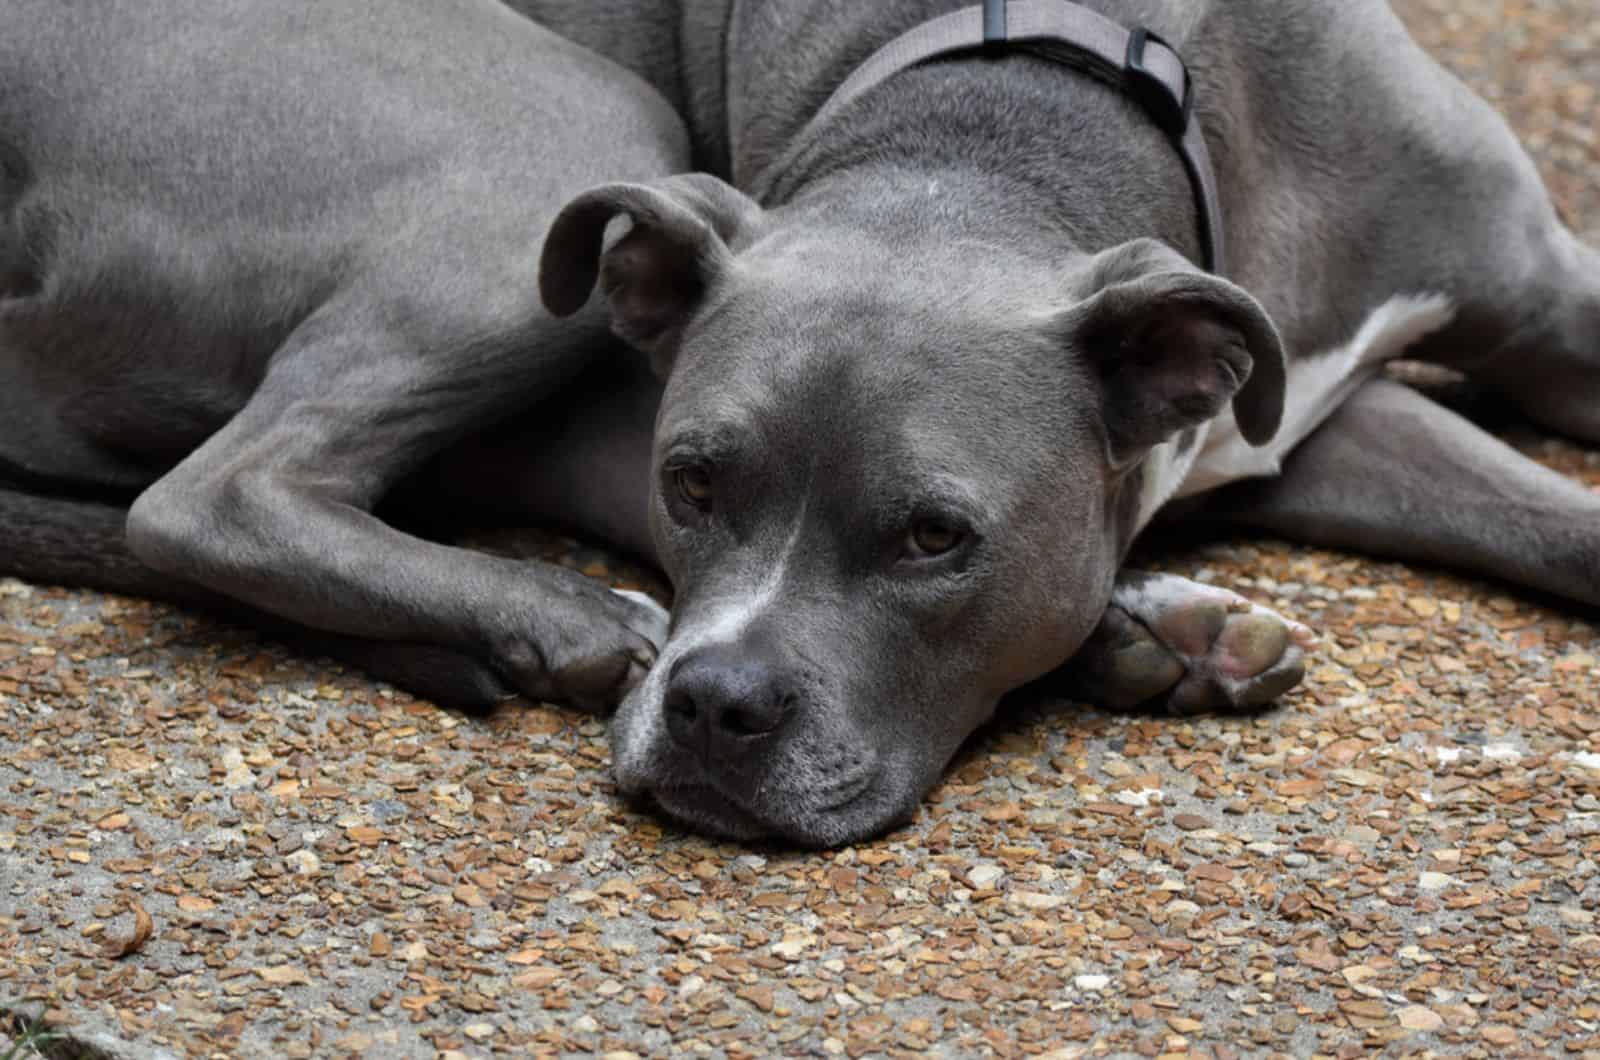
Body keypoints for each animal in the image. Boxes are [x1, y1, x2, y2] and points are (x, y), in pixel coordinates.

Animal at [0, 0, 1593, 845]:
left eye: (937, 535)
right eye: (692, 486)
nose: (713, 707)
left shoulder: (1324, 395)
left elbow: (1555, 518)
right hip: (575, 133)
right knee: (213, 494)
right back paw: (563, 616)